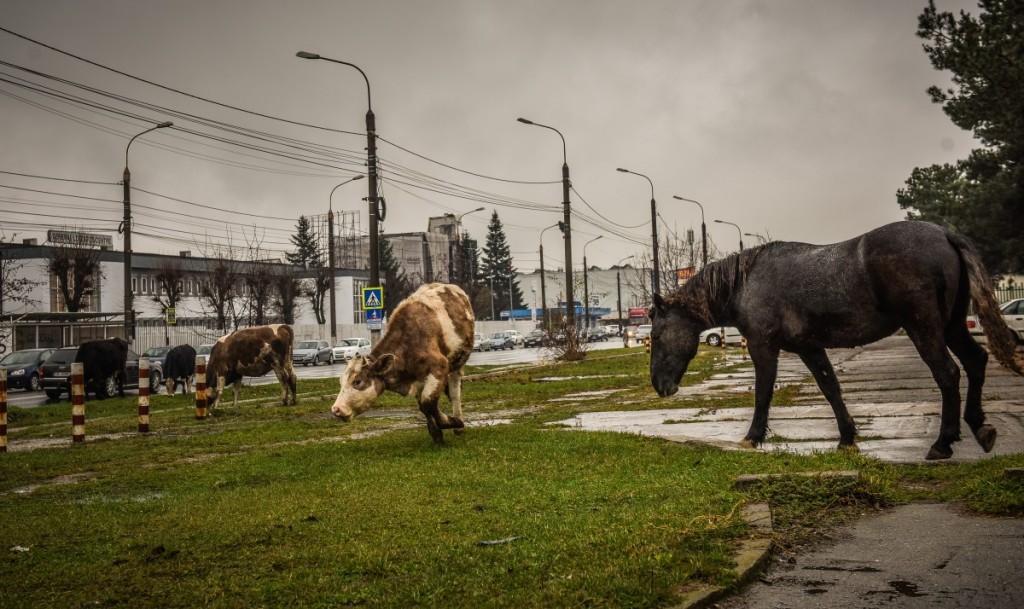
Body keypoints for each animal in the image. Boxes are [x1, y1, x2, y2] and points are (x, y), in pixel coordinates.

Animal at [331, 284, 475, 446]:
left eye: (357, 381)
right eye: (341, 382)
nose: (336, 409)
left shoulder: (440, 366)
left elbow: (428, 402)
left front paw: (453, 422)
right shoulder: (419, 380)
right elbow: (424, 406)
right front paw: (436, 434)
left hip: (457, 364)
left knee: (455, 393)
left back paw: (459, 426)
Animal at [651, 222, 1019, 460]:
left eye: (655, 334)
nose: (659, 386)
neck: (747, 282)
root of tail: (944, 233)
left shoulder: (762, 347)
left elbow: (763, 393)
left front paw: (752, 438)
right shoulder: (809, 347)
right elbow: (831, 389)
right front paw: (847, 438)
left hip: (924, 329)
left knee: (948, 374)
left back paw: (943, 443)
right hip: (952, 326)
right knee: (975, 362)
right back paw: (978, 427)